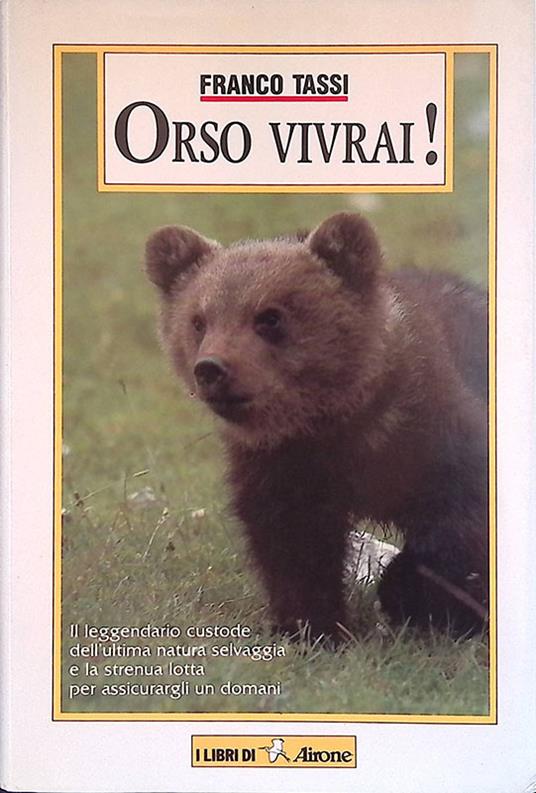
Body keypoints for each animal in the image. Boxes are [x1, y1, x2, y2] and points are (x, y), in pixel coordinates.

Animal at [145, 212, 489, 641]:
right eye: (198, 320)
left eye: (270, 316)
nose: (211, 368)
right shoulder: (285, 468)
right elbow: (295, 547)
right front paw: (312, 626)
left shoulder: (435, 439)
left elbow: (461, 522)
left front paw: (415, 597)